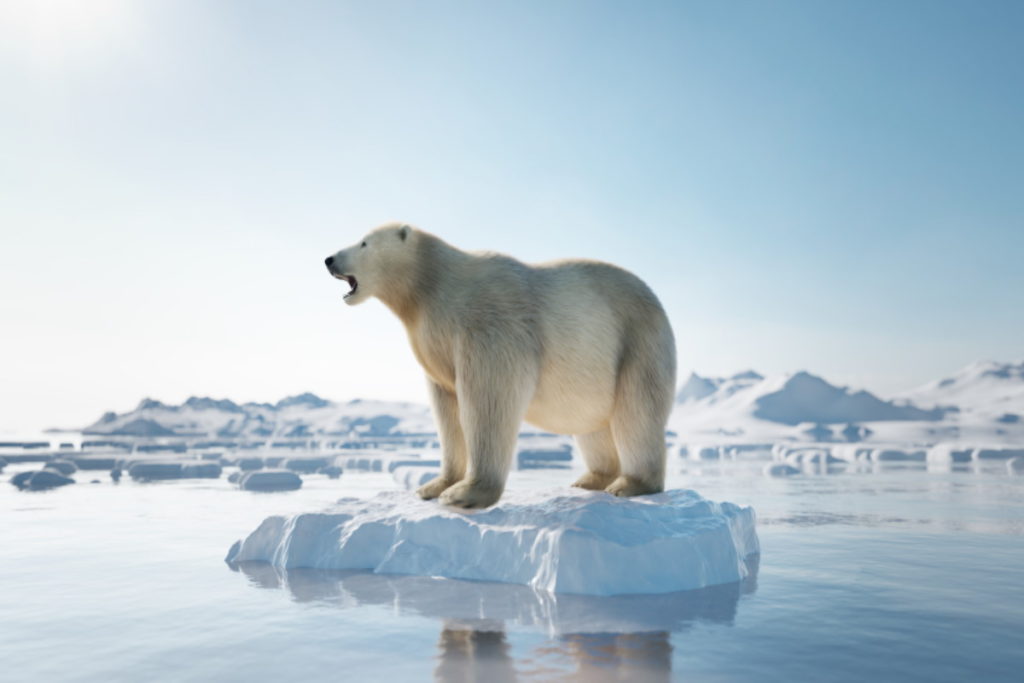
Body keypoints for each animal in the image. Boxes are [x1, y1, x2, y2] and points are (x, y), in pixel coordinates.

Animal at [325, 222, 677, 509]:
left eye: (363, 242)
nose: (329, 259)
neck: (431, 286)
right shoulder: (436, 345)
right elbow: (446, 411)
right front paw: (434, 486)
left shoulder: (488, 324)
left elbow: (489, 399)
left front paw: (464, 494)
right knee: (593, 425)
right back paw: (590, 479)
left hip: (637, 342)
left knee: (636, 413)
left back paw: (631, 484)